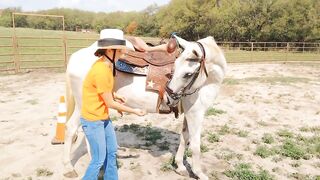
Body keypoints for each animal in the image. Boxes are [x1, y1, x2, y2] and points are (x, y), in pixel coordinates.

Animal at [63, 35, 228, 180]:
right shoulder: (195, 112)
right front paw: (199, 173)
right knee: (72, 129)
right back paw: (70, 168)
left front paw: (180, 166)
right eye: (175, 69)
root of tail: (76, 56)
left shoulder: (189, 112)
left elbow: (184, 137)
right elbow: (195, 144)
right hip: (84, 105)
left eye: (187, 74)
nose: (168, 98)